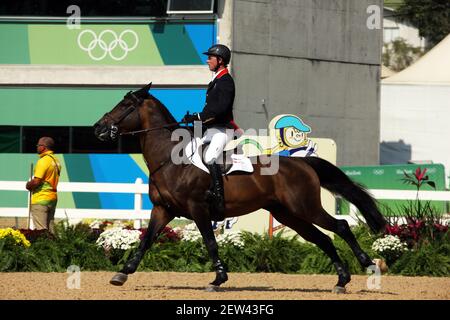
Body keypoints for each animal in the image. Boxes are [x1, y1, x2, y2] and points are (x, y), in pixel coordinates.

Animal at [92, 82, 386, 292]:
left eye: (125, 104)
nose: (97, 128)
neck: (170, 158)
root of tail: (302, 163)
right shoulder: (162, 209)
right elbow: (146, 240)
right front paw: (123, 273)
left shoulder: (197, 209)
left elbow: (210, 242)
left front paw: (218, 279)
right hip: (288, 214)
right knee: (323, 239)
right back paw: (341, 280)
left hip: (305, 207)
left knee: (340, 227)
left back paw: (367, 265)